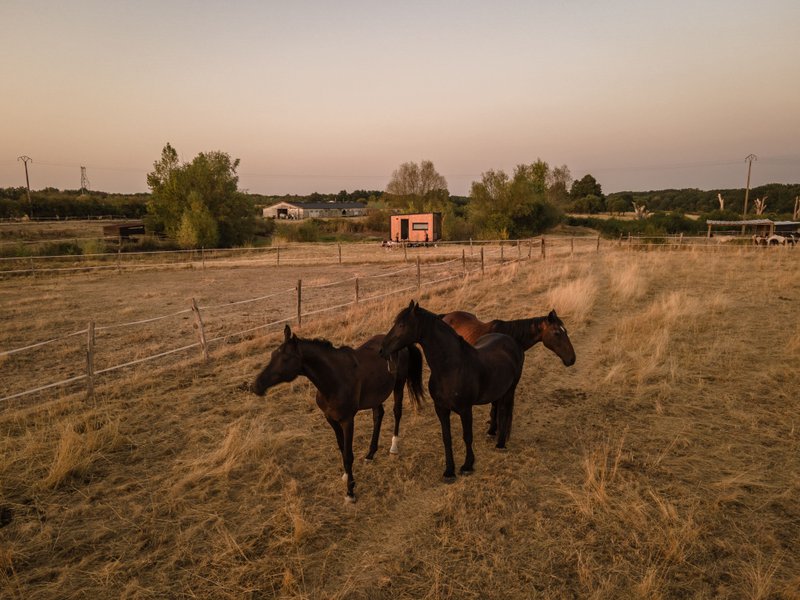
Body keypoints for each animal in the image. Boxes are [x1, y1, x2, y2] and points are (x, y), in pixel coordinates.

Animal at [250, 324, 424, 503]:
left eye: (285, 358)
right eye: (272, 355)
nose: (256, 386)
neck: (335, 379)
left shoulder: (347, 420)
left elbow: (348, 455)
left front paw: (350, 491)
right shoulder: (331, 419)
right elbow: (342, 448)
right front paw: (347, 477)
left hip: (399, 384)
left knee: (397, 412)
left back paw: (394, 447)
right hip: (376, 395)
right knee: (378, 415)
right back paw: (370, 454)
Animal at [379, 301, 525, 482]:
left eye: (401, 325)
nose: (382, 349)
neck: (451, 369)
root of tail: (511, 341)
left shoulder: (465, 409)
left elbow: (467, 436)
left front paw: (468, 466)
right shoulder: (441, 409)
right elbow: (446, 438)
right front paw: (449, 471)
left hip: (510, 389)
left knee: (505, 411)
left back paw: (500, 444)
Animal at [440, 309, 575, 436]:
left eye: (566, 331)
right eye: (557, 333)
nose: (572, 359)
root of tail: (447, 315)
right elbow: (494, 405)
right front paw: (491, 430)